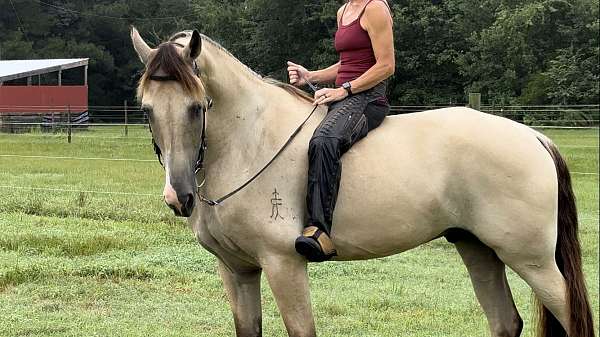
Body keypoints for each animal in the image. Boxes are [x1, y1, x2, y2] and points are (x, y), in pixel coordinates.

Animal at [129, 26, 592, 336]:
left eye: (196, 106)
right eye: (147, 109)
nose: (179, 196)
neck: (251, 142)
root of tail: (534, 136)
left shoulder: (283, 265)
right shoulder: (237, 270)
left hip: (531, 260)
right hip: (478, 248)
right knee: (505, 321)